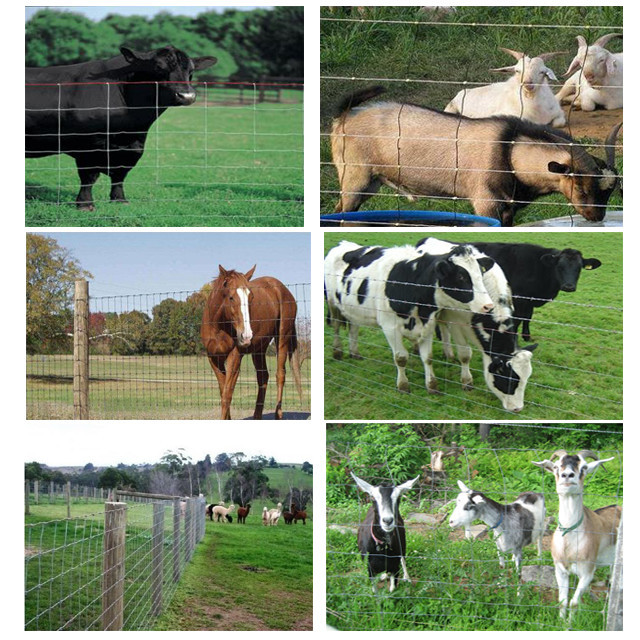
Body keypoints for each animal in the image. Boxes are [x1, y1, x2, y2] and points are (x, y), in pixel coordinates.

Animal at [200, 264, 302, 420]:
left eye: (251, 297)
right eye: (231, 297)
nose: (246, 336)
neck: (218, 327)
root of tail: (284, 290)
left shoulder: (235, 357)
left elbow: (227, 396)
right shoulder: (214, 358)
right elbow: (223, 392)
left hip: (282, 339)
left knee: (280, 375)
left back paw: (278, 415)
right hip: (259, 349)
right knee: (263, 377)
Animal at [324, 239, 496, 396]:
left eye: (481, 274)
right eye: (461, 277)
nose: (488, 305)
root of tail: (343, 244)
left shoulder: (428, 325)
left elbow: (428, 357)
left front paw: (432, 385)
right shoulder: (389, 327)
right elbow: (400, 358)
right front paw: (403, 386)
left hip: (352, 308)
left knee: (353, 328)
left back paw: (354, 353)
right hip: (332, 303)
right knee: (336, 326)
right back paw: (337, 352)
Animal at [418, 238, 604, 342]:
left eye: (579, 268)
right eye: (560, 266)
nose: (569, 286)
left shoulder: (529, 301)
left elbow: (528, 318)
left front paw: (527, 336)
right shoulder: (519, 298)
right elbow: (519, 319)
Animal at [532, 450, 624, 620]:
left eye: (584, 467)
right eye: (556, 466)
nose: (567, 475)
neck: (569, 543)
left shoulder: (587, 573)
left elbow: (574, 603)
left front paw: (570, 623)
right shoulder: (560, 570)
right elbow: (562, 601)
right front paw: (561, 622)